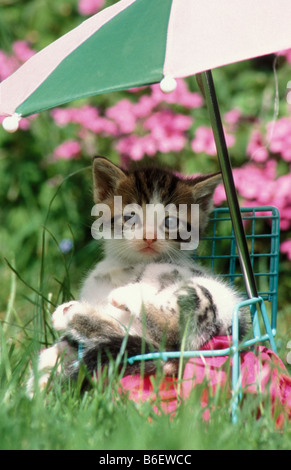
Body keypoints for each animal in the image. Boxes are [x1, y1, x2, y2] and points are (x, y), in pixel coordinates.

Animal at [28, 157, 251, 392]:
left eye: (170, 221)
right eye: (130, 216)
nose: (149, 236)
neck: (129, 265)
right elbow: (71, 342)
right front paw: (43, 374)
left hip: (204, 298)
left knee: (169, 327)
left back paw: (126, 294)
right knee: (115, 334)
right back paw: (69, 313)